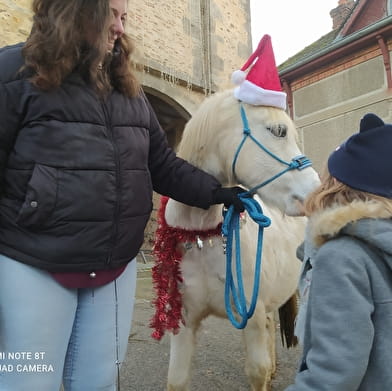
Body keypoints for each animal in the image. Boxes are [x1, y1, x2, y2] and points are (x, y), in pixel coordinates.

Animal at [150, 89, 318, 391]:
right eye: (278, 130)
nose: (314, 191)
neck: (203, 238)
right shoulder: (184, 321)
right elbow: (176, 379)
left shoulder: (251, 319)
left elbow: (256, 371)